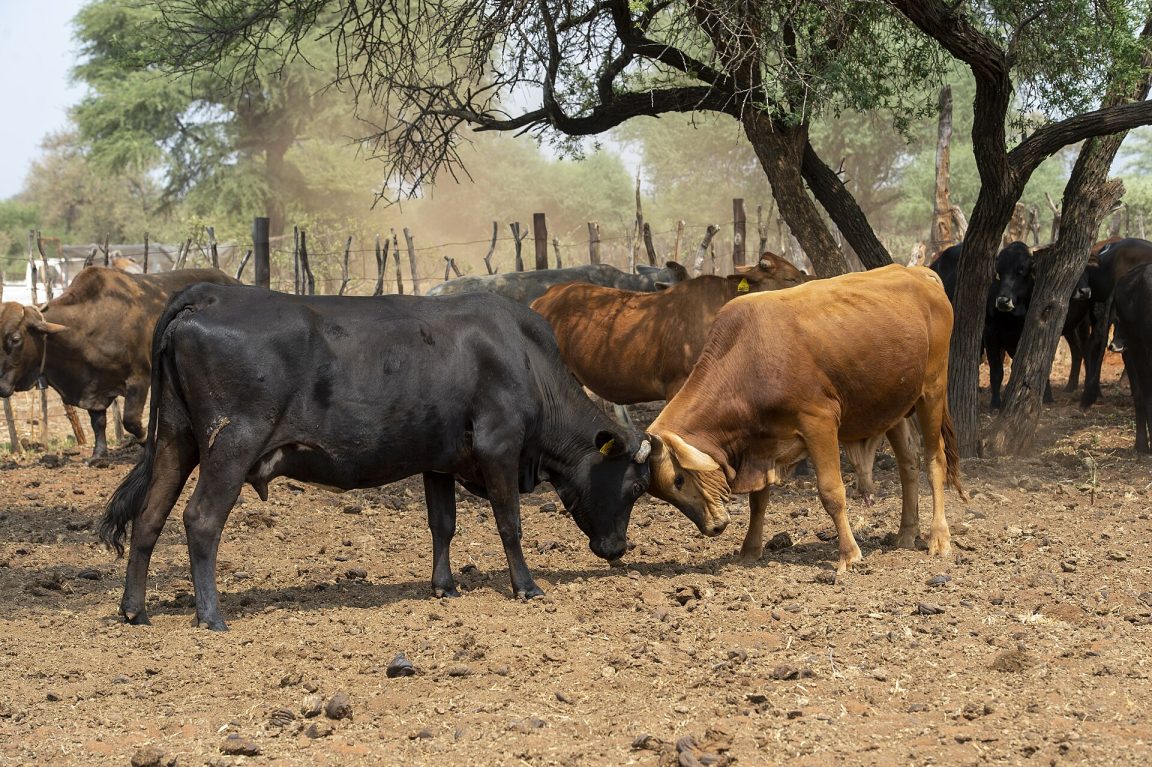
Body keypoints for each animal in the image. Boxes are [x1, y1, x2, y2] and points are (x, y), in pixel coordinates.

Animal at [0, 267, 240, 458]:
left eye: (16, 339)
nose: (1, 386)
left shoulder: (139, 379)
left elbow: (131, 420)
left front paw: (143, 440)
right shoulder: (93, 388)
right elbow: (98, 423)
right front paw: (98, 455)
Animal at [99, 285, 652, 630]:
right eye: (636, 487)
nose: (618, 548)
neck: (526, 357)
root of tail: (210, 293)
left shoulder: (439, 457)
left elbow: (443, 525)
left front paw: (444, 587)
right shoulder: (499, 446)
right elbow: (509, 524)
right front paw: (527, 587)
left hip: (176, 440)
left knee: (149, 518)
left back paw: (134, 610)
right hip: (231, 444)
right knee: (200, 519)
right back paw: (211, 616)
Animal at [642, 265, 963, 572]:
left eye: (679, 480)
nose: (712, 528)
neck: (748, 358)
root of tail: (919, 273)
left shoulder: (819, 422)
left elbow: (831, 493)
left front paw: (849, 555)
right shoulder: (761, 443)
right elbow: (758, 501)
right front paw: (749, 551)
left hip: (932, 390)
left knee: (935, 460)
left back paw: (939, 538)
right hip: (893, 406)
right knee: (908, 463)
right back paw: (906, 534)